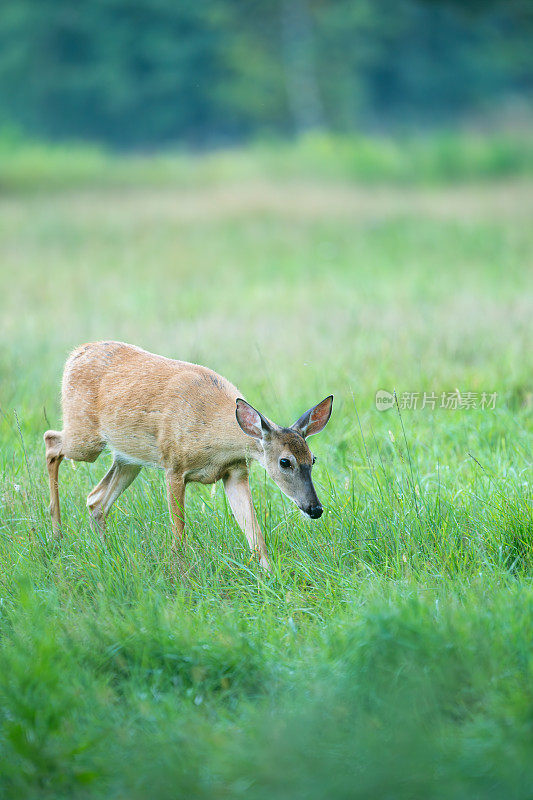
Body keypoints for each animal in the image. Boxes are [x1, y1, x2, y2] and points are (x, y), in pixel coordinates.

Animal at [43, 340, 332, 572]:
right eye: (285, 461)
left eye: (313, 459)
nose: (315, 509)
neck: (215, 435)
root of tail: (75, 354)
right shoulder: (174, 465)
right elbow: (179, 531)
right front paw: (179, 573)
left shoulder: (236, 471)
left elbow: (254, 532)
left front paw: (271, 575)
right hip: (85, 439)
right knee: (51, 441)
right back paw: (57, 534)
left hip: (128, 459)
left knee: (96, 500)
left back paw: (103, 551)